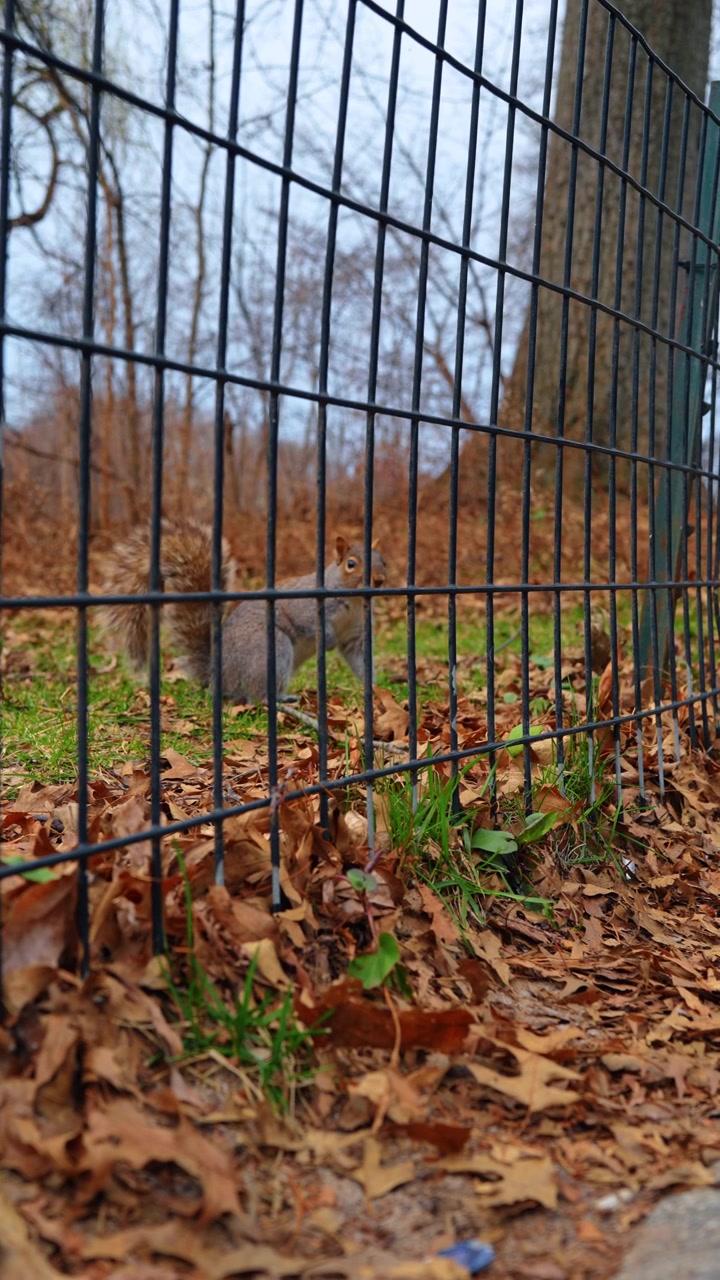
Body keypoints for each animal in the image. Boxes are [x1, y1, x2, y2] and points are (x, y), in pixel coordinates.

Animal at [100, 519, 387, 703]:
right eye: (351, 564)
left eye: (382, 560)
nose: (380, 580)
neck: (353, 603)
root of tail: (218, 674)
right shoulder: (305, 605)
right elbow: (307, 622)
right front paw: (326, 639)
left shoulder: (355, 634)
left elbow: (359, 657)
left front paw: (374, 688)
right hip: (270, 649)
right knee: (257, 695)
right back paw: (282, 698)